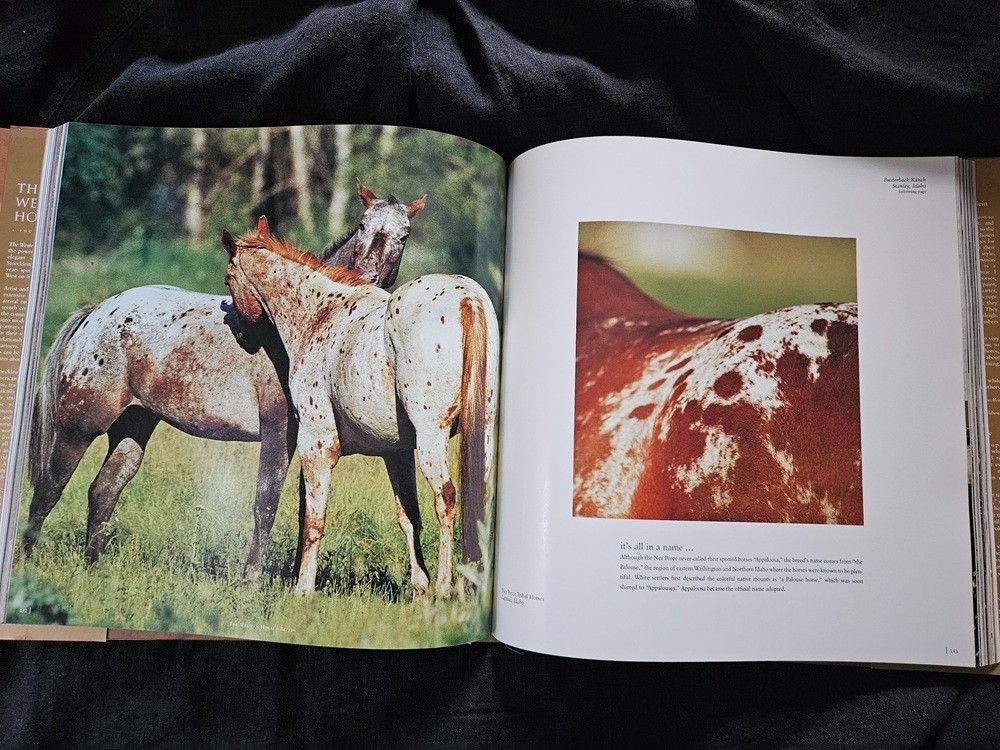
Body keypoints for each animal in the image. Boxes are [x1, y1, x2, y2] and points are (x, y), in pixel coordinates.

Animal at [21, 181, 427, 577]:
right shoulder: (280, 432)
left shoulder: (313, 438)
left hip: (133, 427)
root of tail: (96, 313)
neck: (308, 319)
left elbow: (304, 511)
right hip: (78, 428)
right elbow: (266, 502)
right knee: (48, 490)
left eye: (404, 235)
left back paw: (92, 568)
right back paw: (25, 563)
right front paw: (251, 579)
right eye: (362, 225)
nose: (367, 279)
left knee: (103, 491)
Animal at [221, 225, 498, 598]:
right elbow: (408, 516)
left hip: (432, 438)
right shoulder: (397, 453)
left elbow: (312, 519)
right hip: (481, 432)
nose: (242, 335)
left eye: (228, 279)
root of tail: (466, 298)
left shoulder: (318, 445)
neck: (321, 313)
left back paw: (445, 587)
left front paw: (303, 589)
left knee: (447, 498)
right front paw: (418, 591)